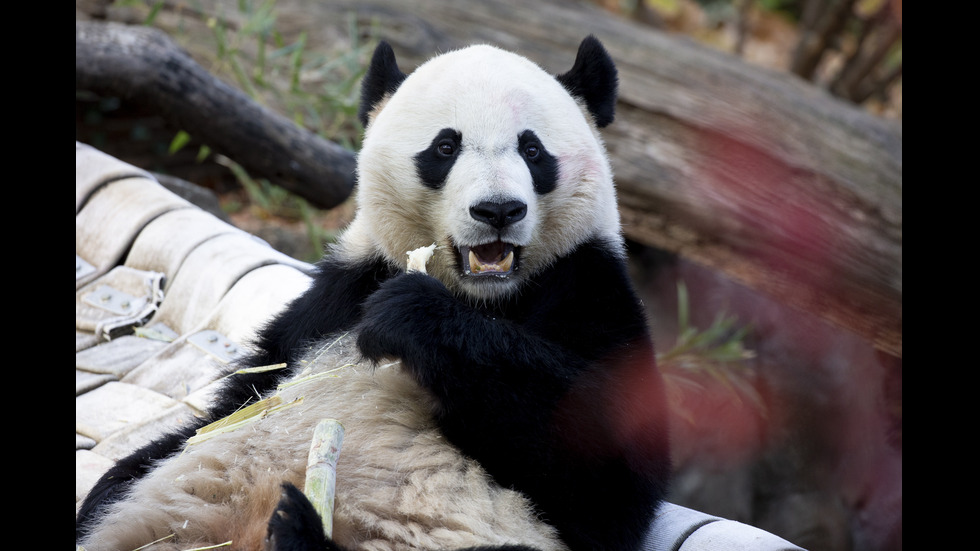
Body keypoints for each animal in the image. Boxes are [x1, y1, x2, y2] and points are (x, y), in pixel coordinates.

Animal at [76, 36, 672, 551]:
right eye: (445, 146)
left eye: (532, 149)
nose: (498, 210)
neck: (485, 297)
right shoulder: (336, 296)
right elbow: (230, 405)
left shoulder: (587, 284)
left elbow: (611, 474)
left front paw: (411, 316)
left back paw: (301, 531)